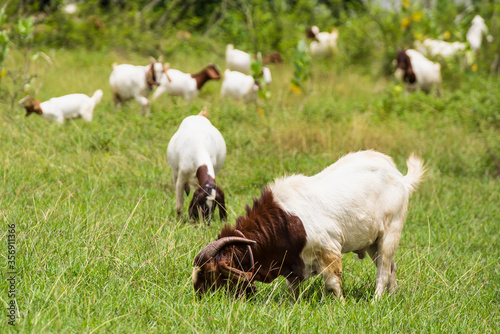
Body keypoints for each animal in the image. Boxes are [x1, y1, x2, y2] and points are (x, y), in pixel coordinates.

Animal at [193, 151, 424, 300]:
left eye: (211, 272)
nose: (200, 297)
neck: (284, 220)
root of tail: (402, 179)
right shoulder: (292, 263)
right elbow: (292, 288)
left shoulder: (329, 249)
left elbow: (332, 283)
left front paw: (340, 305)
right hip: (372, 242)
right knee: (391, 267)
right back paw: (392, 296)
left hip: (391, 231)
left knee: (383, 270)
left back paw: (376, 301)